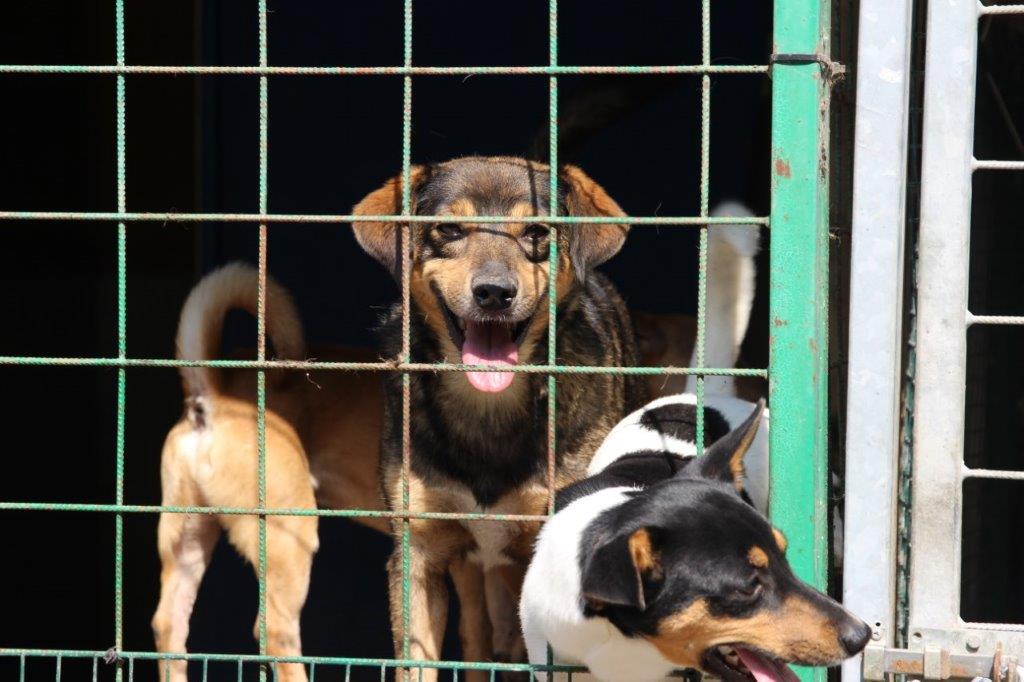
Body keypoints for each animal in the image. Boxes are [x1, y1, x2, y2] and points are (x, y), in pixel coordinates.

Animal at [351, 156, 648, 678]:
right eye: (449, 229)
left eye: (536, 232)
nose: (493, 293)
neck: (488, 407)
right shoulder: (418, 553)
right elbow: (418, 659)